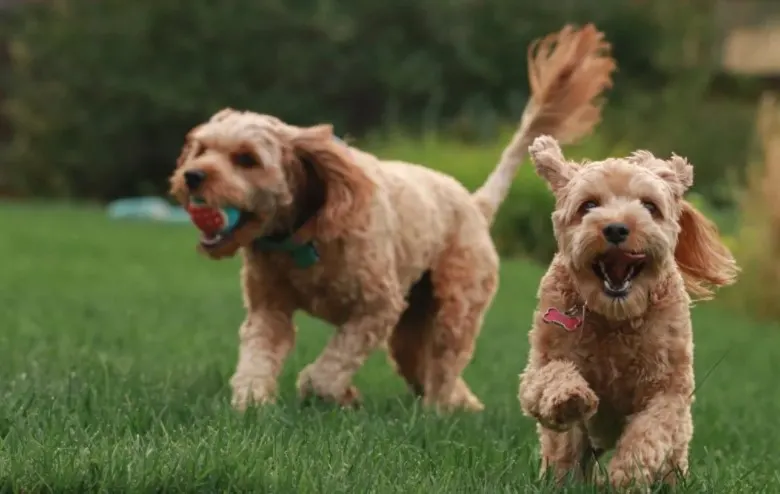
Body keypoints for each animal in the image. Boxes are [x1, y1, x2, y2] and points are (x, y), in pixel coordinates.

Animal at [171, 23, 616, 412]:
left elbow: (330, 366)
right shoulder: (270, 308)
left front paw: (329, 392)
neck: (303, 236)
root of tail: (474, 203)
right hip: (412, 324)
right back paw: (461, 405)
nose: (192, 177)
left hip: (455, 306)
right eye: (201, 149)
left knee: (444, 362)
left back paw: (439, 410)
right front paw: (251, 403)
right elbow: (258, 356)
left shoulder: (377, 306)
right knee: (423, 363)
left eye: (246, 159)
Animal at [516, 135, 736, 490]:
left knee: (672, 457)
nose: (617, 228)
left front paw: (626, 475)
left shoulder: (669, 390)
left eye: (649, 206)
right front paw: (571, 397)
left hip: (677, 445)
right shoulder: (540, 365)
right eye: (588, 205)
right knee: (564, 454)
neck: (615, 317)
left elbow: (650, 431)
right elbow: (551, 377)